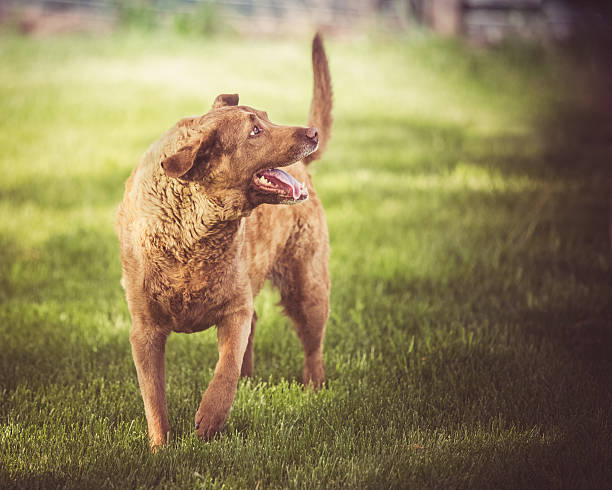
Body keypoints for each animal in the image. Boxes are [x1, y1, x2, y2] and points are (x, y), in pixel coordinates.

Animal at [116, 34, 332, 448]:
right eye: (254, 132)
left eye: (266, 117)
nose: (311, 133)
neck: (193, 232)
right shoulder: (144, 329)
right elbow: (153, 395)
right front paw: (160, 448)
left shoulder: (234, 307)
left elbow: (225, 368)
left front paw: (211, 417)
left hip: (308, 285)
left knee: (312, 346)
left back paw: (313, 389)